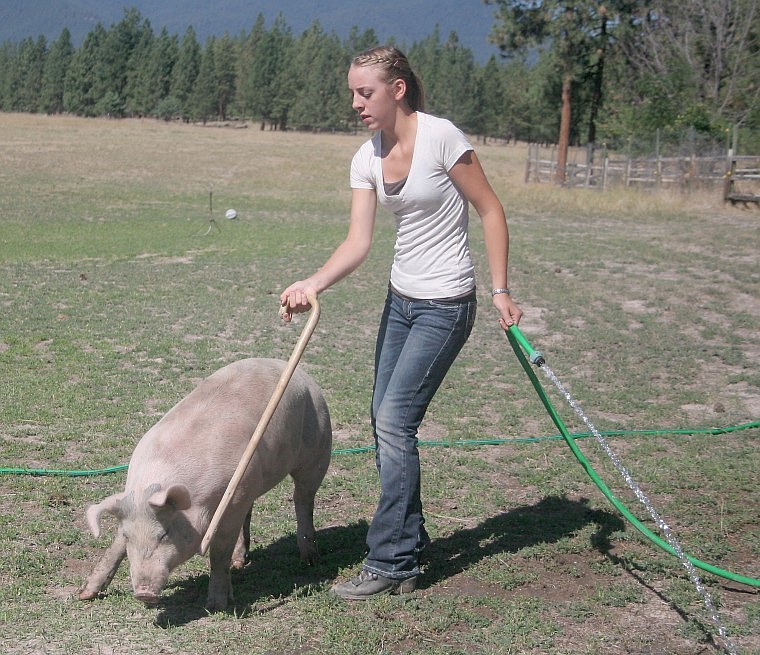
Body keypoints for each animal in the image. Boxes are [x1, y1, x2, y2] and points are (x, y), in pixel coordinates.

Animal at [76, 358, 332, 608]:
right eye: (130, 537)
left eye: (164, 534)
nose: (143, 593)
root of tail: (297, 371)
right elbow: (115, 546)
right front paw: (85, 594)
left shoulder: (233, 500)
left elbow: (219, 550)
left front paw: (217, 605)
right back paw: (240, 563)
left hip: (318, 450)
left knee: (303, 500)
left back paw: (310, 560)